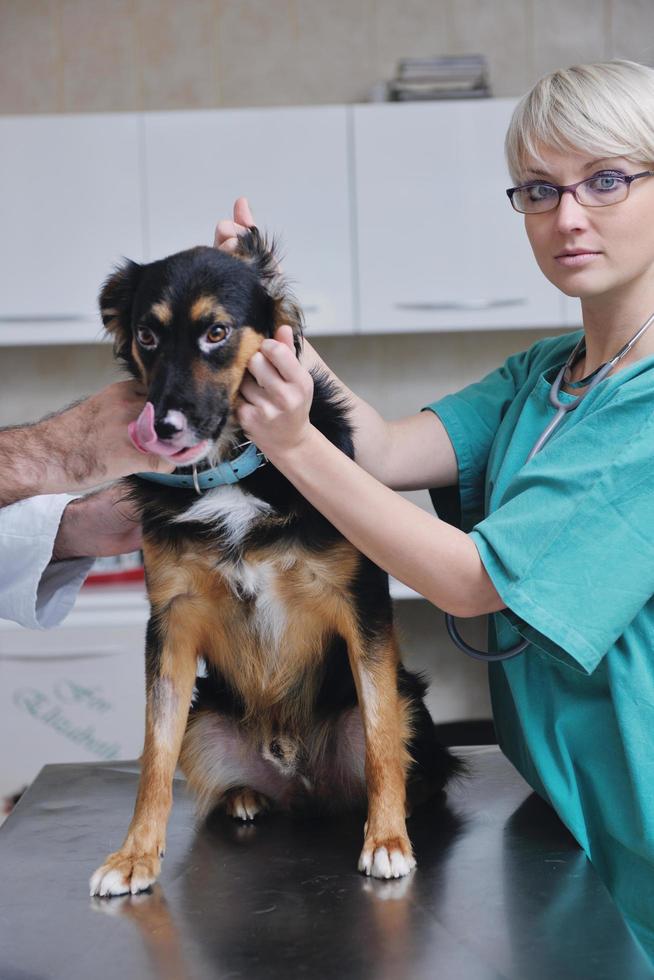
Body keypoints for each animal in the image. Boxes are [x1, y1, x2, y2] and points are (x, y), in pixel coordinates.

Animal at [91, 230, 462, 896]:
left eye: (217, 332)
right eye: (147, 336)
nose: (164, 427)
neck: (231, 469)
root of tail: (299, 777)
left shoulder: (363, 607)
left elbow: (380, 738)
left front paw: (386, 840)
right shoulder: (170, 621)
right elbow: (154, 755)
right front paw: (134, 855)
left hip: (411, 699)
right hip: (206, 719)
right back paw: (246, 797)